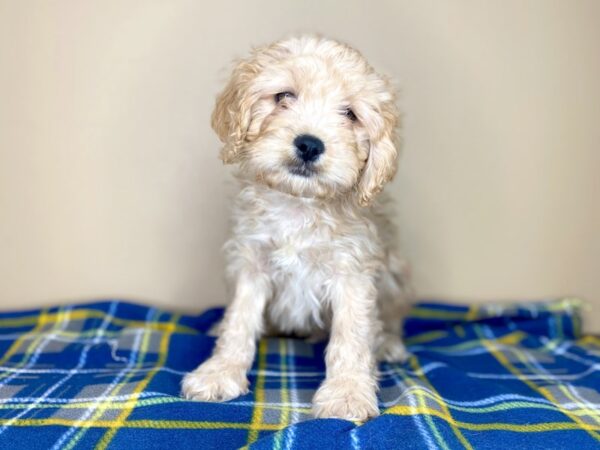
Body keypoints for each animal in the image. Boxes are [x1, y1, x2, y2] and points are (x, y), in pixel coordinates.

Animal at [183, 35, 414, 422]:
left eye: (350, 114)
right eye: (283, 96)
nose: (309, 144)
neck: (299, 205)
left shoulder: (353, 270)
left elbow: (351, 335)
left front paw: (347, 393)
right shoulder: (251, 262)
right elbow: (240, 320)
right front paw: (221, 370)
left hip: (396, 274)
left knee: (391, 319)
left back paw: (389, 344)